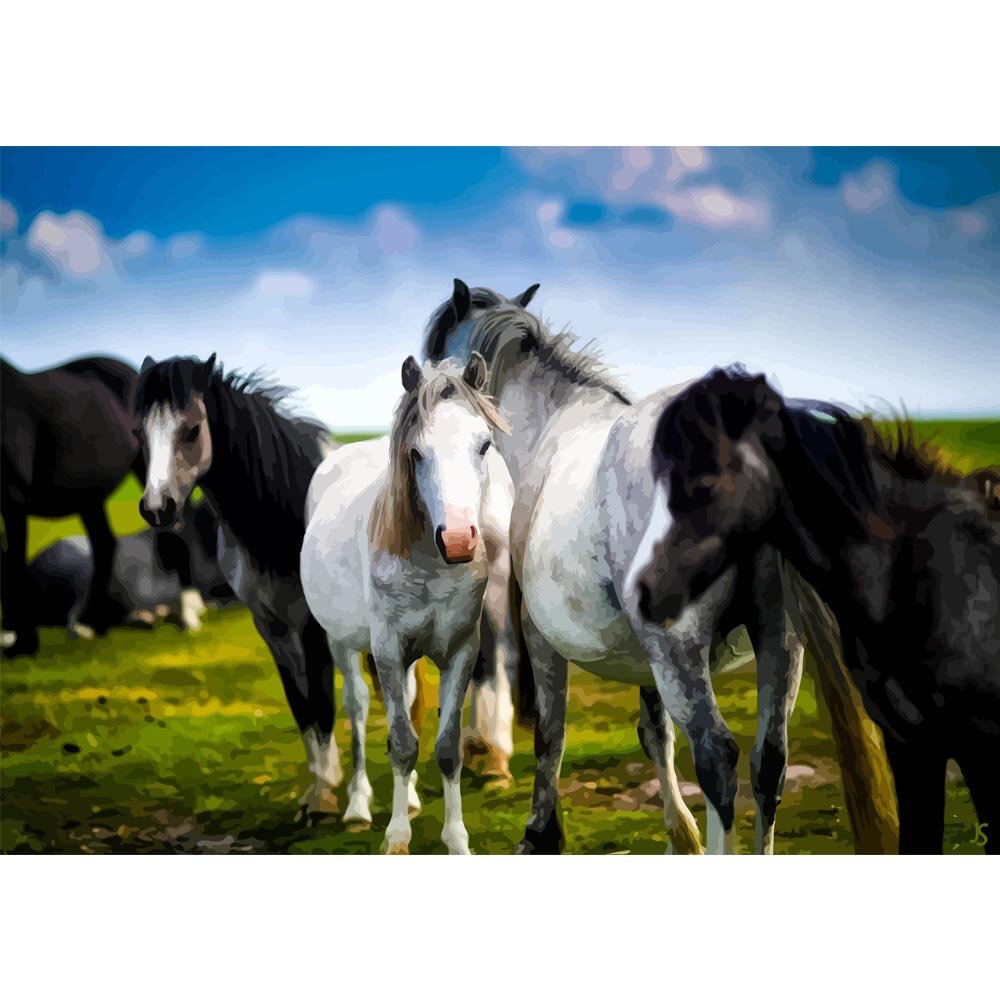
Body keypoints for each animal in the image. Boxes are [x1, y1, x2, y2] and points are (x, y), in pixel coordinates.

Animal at [1, 355, 198, 658]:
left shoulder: (14, 498)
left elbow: (14, 562)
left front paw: (24, 642)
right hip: (88, 498)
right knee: (104, 543)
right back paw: (95, 622)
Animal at [301, 354, 515, 853]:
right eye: (416, 454)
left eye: (484, 445)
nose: (458, 541)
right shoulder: (388, 651)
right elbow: (401, 743)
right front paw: (397, 837)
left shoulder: (460, 650)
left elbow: (446, 746)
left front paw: (457, 839)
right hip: (342, 643)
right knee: (359, 707)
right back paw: (358, 806)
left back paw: (412, 799)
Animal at [424, 280, 897, 854]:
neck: (553, 423)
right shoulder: (644, 652)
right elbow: (656, 733)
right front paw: (679, 835)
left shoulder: (544, 636)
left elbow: (550, 733)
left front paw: (541, 832)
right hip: (778, 643)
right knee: (769, 762)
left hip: (682, 649)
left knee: (718, 757)